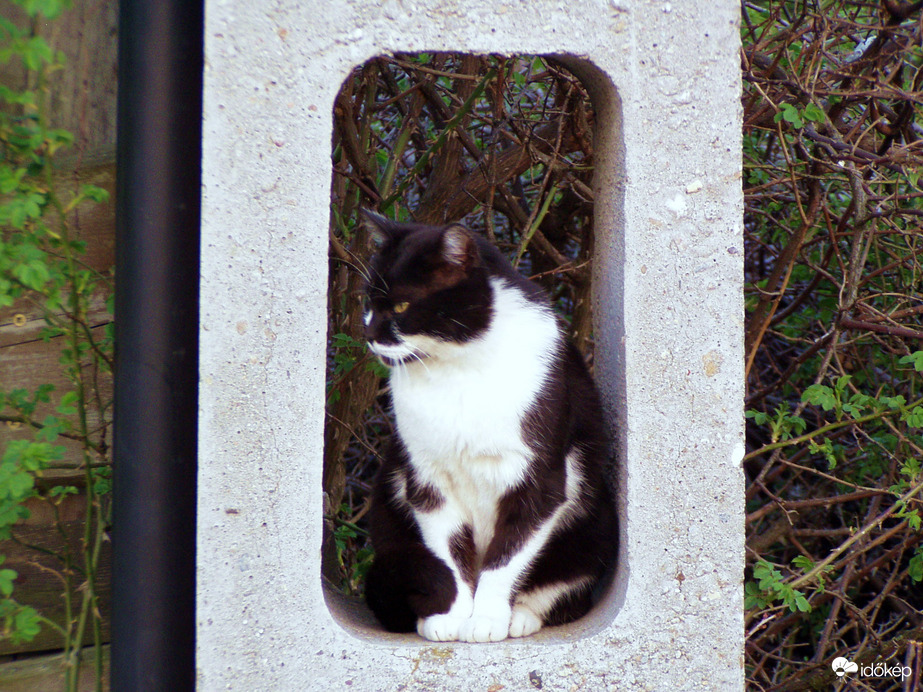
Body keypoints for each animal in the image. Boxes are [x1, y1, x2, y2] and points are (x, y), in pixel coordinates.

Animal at [364, 212, 616, 644]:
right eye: (368, 301)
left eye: (401, 305)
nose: (368, 335)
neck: (458, 368)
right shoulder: (428, 481)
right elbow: (450, 555)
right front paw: (450, 616)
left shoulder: (538, 482)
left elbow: (505, 559)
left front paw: (485, 619)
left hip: (595, 525)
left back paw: (521, 616)